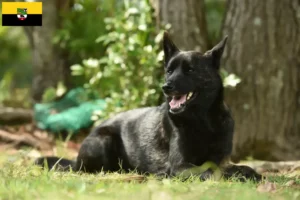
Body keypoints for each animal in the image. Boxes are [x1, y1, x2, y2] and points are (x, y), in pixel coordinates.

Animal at [34, 32, 260, 181]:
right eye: (169, 71)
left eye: (190, 70)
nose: (166, 87)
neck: (203, 121)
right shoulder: (180, 165)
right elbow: (212, 170)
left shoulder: (221, 158)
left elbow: (234, 166)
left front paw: (249, 172)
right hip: (103, 141)